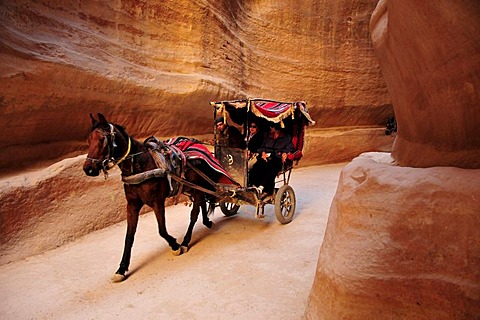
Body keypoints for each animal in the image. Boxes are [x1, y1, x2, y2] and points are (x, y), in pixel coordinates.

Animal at [84, 113, 221, 282]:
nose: (88, 169)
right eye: (88, 140)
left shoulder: (157, 202)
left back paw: (185, 241)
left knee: (194, 214)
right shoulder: (132, 204)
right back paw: (206, 221)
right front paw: (121, 268)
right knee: (201, 203)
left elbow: (162, 230)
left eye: (102, 139)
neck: (140, 166)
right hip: (194, 187)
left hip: (197, 186)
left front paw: (175, 245)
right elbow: (129, 235)